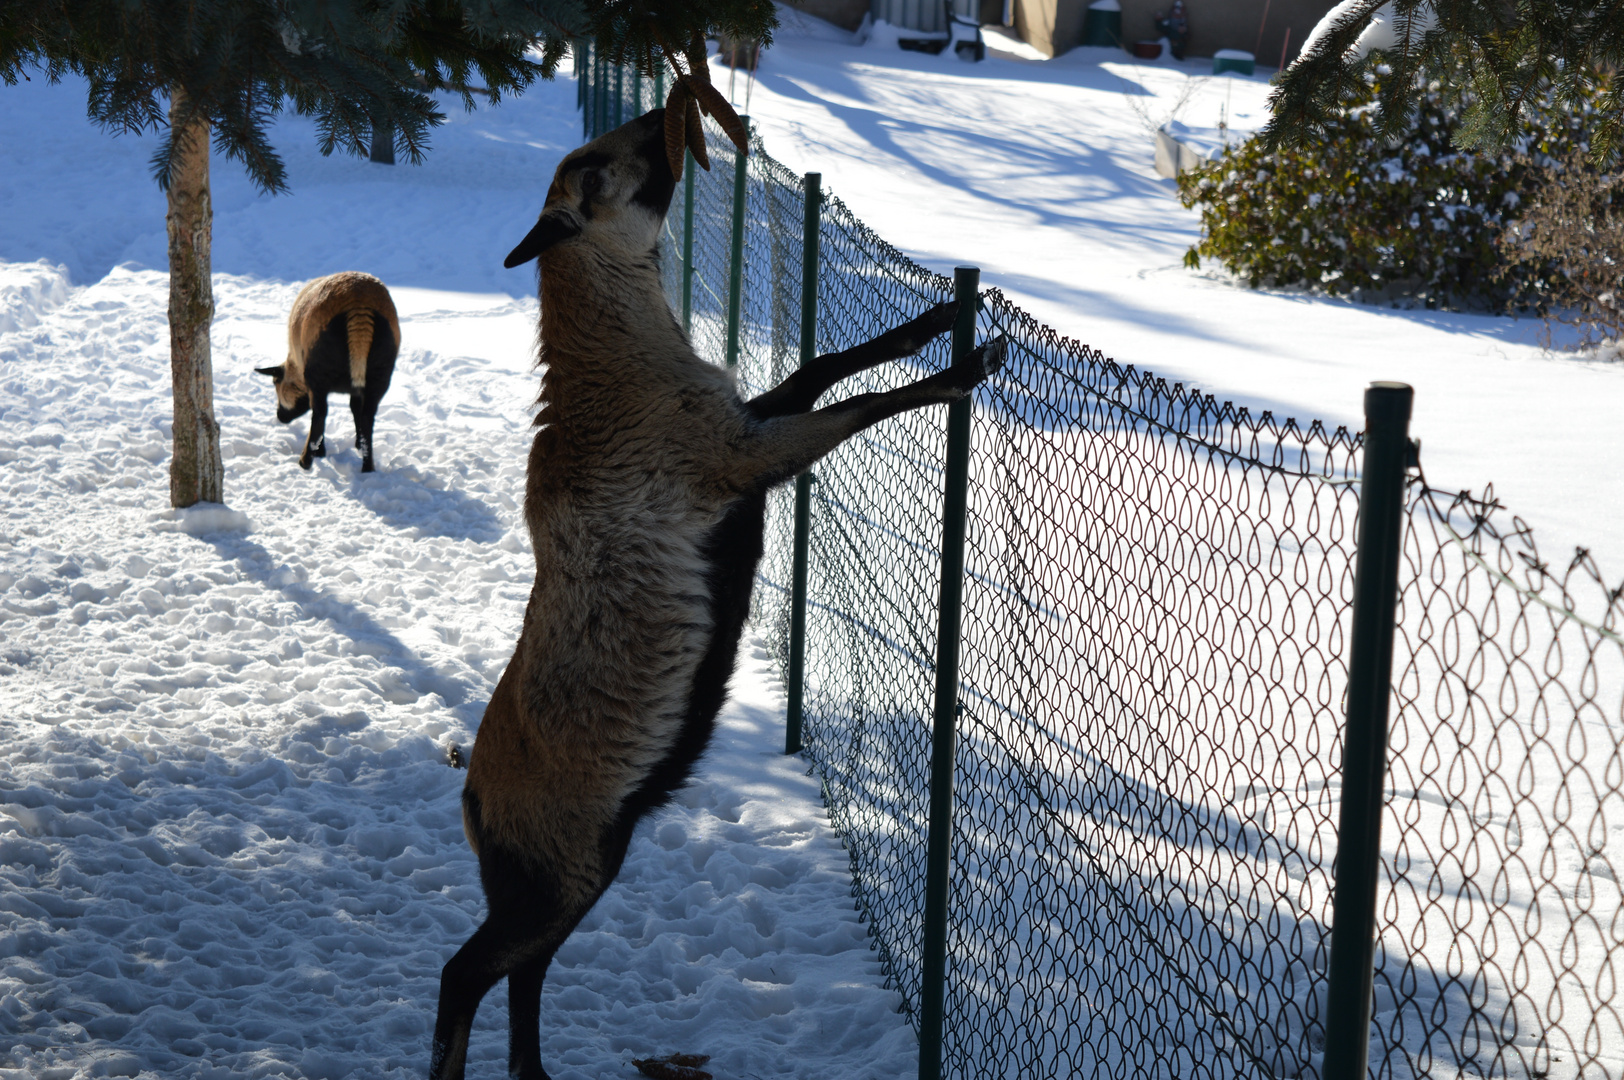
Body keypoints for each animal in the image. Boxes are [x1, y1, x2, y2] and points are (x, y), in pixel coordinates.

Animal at [259, 269, 402, 470]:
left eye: (275, 382)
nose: (280, 416)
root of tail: (360, 304)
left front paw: (319, 452)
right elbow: (355, 408)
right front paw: (357, 444)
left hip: (319, 371)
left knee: (320, 414)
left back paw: (306, 461)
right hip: (380, 371)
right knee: (368, 416)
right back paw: (367, 467)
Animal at [431, 111, 1006, 1078]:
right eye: (595, 169)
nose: (664, 120)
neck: (617, 372)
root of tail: (475, 806)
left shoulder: (742, 423)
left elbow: (819, 367)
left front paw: (933, 321)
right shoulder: (737, 461)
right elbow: (848, 406)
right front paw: (966, 367)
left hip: (573, 869)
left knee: (521, 973)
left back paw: (537, 1071)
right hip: (560, 870)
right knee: (464, 972)